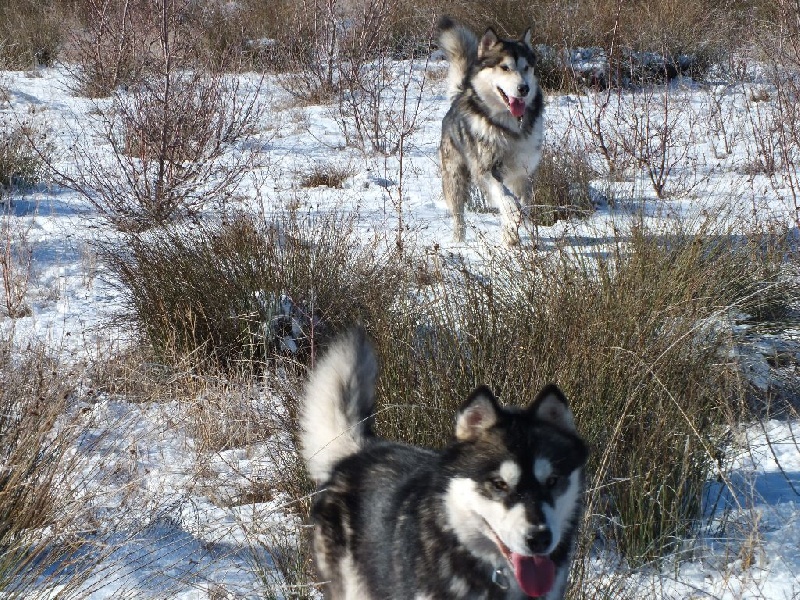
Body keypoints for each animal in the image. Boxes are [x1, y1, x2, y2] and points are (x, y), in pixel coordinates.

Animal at [438, 17, 544, 245]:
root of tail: (460, 93)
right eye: (505, 67)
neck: (509, 127)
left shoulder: (522, 174)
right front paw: (513, 214)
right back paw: (458, 242)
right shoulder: (486, 169)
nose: (524, 88)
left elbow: (523, 203)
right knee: (458, 214)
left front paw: (512, 234)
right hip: (455, 176)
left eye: (526, 68)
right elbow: (505, 198)